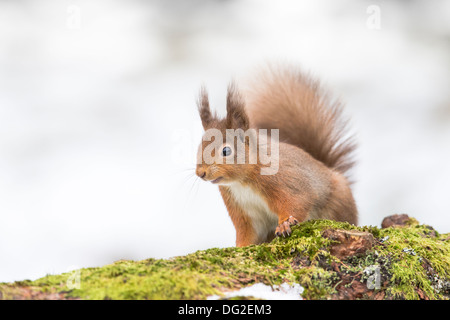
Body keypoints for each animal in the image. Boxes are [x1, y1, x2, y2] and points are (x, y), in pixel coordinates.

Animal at [195, 63, 356, 246]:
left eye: (226, 151)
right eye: (199, 146)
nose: (200, 173)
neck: (241, 183)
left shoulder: (285, 181)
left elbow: (298, 201)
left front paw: (285, 224)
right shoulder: (245, 213)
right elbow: (248, 233)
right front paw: (240, 247)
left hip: (338, 200)